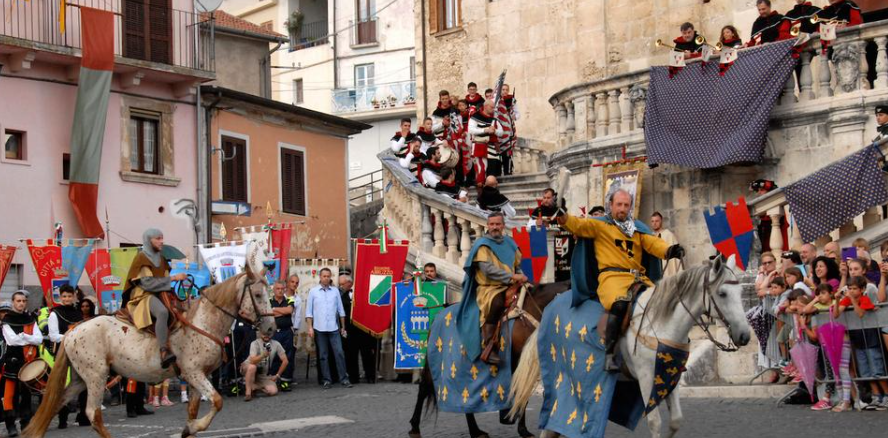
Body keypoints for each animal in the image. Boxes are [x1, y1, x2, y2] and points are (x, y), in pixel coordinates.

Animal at [25, 241, 274, 438]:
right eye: (258, 295)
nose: (271, 327)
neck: (202, 322)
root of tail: (73, 331)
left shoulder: (196, 376)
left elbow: (193, 411)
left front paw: (189, 429)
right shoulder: (194, 372)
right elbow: (218, 402)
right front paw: (193, 428)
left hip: (79, 378)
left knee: (54, 404)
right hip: (96, 376)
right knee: (92, 414)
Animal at [408, 280, 568, 438]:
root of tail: (439, 315)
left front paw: (523, 428)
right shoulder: (522, 361)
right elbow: (523, 392)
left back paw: (476, 431)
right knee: (424, 388)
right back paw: (415, 427)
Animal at [510, 255, 752, 436]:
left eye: (741, 292)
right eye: (722, 293)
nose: (745, 336)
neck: (661, 324)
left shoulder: (669, 376)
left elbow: (675, 420)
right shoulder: (646, 378)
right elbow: (654, 421)